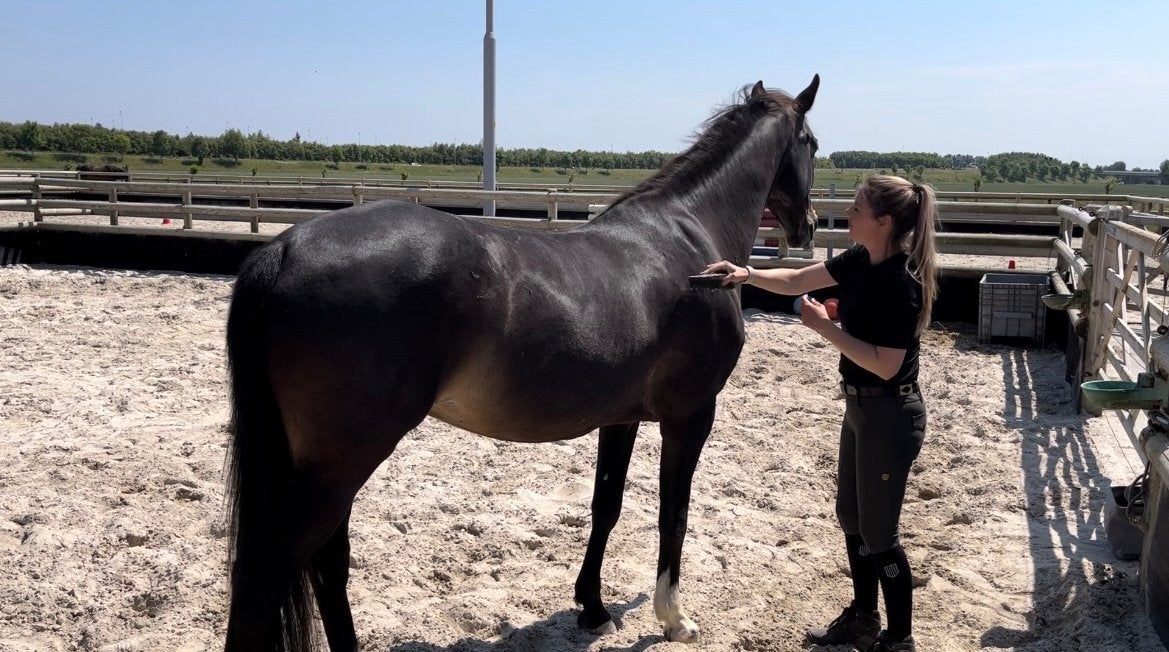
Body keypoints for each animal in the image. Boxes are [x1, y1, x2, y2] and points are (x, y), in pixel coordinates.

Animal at [224, 75, 820, 651]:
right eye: (812, 143)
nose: (810, 226)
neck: (687, 238)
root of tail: (286, 248)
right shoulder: (691, 416)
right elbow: (674, 513)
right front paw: (675, 619)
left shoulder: (621, 418)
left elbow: (606, 506)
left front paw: (594, 609)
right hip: (338, 464)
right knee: (268, 575)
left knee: (326, 566)